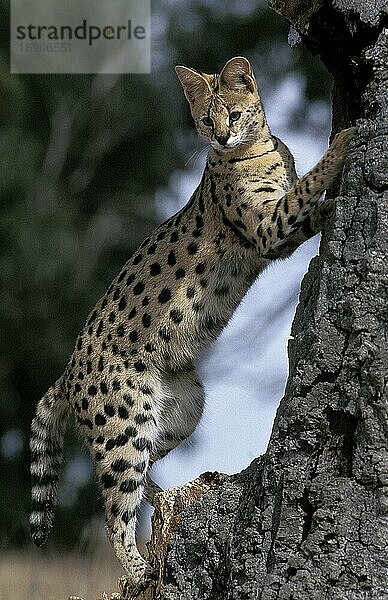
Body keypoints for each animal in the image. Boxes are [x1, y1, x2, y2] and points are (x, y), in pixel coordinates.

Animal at [30, 56, 356, 592]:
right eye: (206, 119)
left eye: (235, 113)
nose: (221, 137)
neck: (252, 150)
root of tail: (68, 373)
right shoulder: (267, 230)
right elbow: (305, 187)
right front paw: (347, 141)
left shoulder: (277, 232)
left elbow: (306, 202)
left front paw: (333, 196)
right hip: (123, 427)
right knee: (113, 508)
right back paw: (138, 569)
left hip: (183, 409)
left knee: (142, 478)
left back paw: (168, 497)